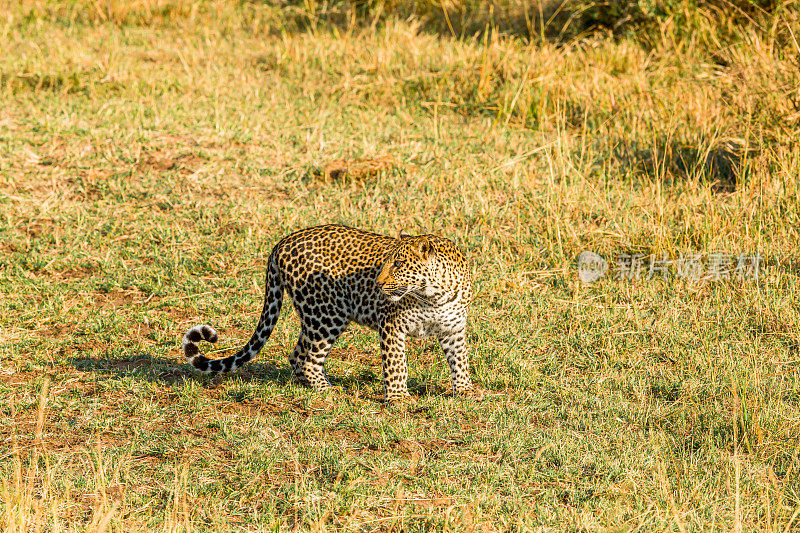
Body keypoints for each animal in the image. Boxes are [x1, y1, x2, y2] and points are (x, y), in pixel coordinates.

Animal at [183, 222, 476, 402]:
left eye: (399, 264)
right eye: (386, 263)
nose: (378, 284)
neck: (434, 295)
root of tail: (283, 242)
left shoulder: (453, 329)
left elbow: (459, 361)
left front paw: (465, 391)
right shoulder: (391, 325)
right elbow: (396, 364)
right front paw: (398, 399)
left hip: (316, 315)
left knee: (298, 354)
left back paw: (309, 385)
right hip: (326, 315)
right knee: (308, 358)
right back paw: (327, 390)